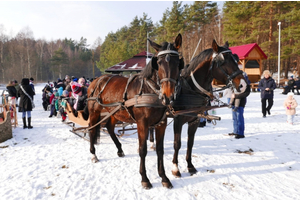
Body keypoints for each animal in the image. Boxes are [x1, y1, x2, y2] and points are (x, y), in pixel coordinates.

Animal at [84, 33, 183, 188]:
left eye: (177, 62)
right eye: (159, 62)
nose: (168, 96)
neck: (150, 90)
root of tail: (97, 80)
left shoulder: (161, 123)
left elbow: (160, 150)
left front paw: (164, 177)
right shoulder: (142, 123)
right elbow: (142, 150)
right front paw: (145, 178)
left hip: (114, 112)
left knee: (110, 128)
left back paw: (119, 149)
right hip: (94, 112)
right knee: (92, 129)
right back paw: (93, 155)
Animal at [170, 39, 247, 177]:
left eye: (235, 59)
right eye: (223, 61)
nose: (243, 85)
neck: (189, 89)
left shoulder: (194, 121)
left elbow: (190, 143)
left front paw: (190, 166)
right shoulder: (177, 120)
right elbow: (177, 144)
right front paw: (175, 168)